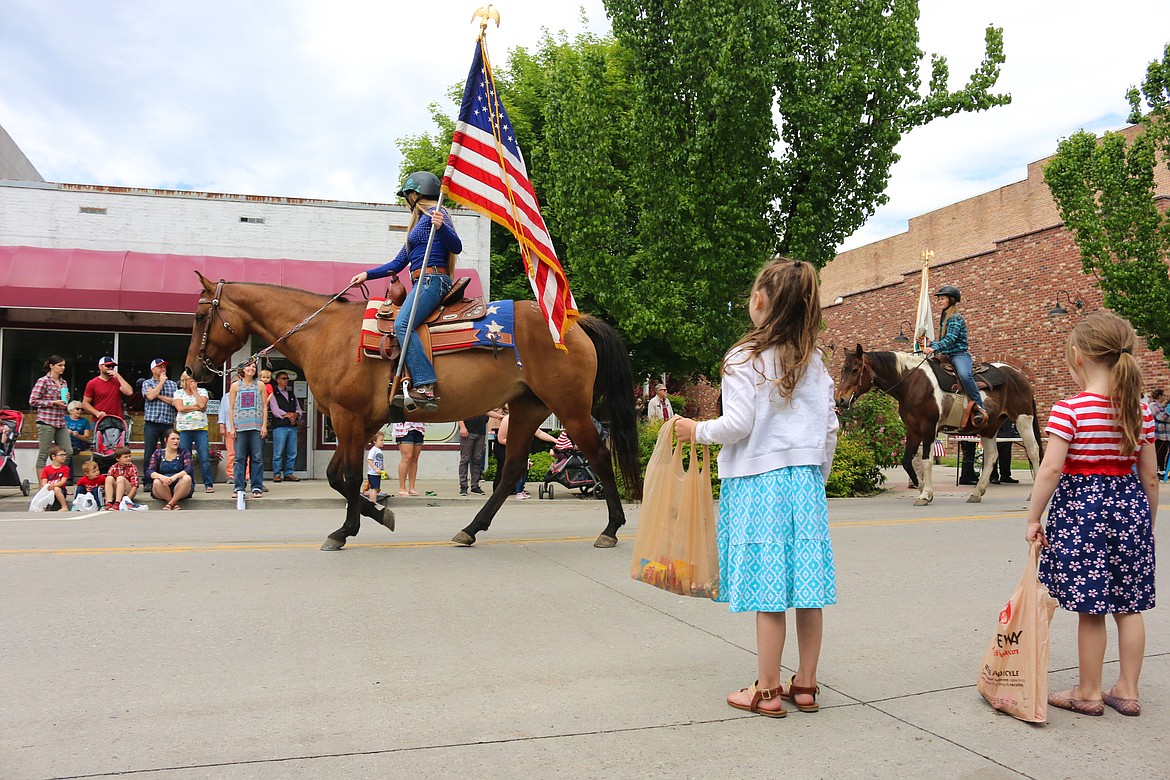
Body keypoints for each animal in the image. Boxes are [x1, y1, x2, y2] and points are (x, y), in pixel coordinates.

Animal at [182, 273, 641, 549]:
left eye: (202, 314)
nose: (191, 370)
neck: (326, 334)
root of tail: (574, 322)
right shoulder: (358, 422)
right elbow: (339, 477)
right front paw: (378, 514)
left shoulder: (348, 417)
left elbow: (348, 478)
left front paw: (347, 529)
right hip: (527, 407)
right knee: (511, 469)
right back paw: (470, 529)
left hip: (570, 407)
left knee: (598, 458)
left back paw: (611, 528)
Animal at [833, 346, 1043, 507]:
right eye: (843, 369)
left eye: (855, 369)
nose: (840, 400)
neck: (913, 383)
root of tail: (1019, 375)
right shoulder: (913, 430)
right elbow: (907, 461)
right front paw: (922, 489)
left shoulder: (928, 428)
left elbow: (927, 461)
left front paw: (925, 494)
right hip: (990, 427)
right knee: (992, 457)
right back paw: (976, 493)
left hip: (1023, 419)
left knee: (1033, 452)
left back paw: (1034, 494)